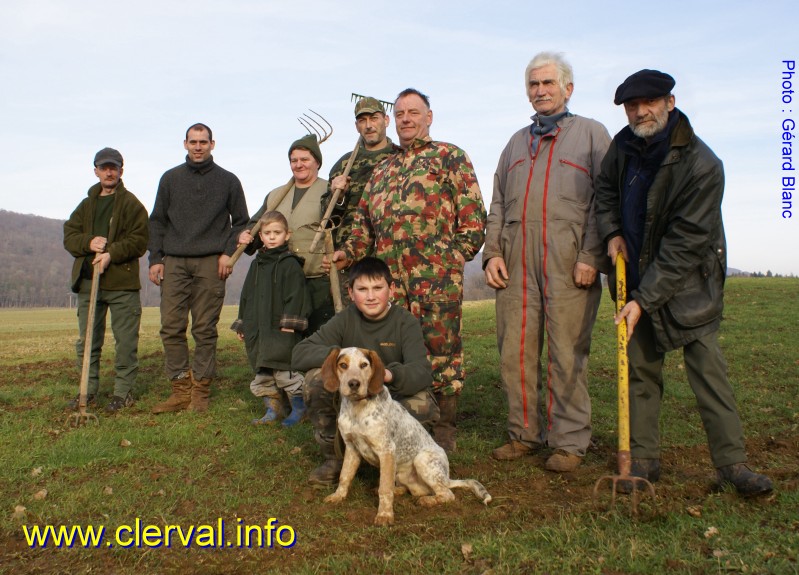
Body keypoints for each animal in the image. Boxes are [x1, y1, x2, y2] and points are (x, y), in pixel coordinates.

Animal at [322, 346, 490, 528]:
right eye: (343, 365)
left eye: (364, 365)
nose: (354, 384)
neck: (357, 409)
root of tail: (447, 478)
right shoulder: (351, 448)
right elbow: (344, 476)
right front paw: (338, 496)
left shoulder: (386, 450)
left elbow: (385, 488)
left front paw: (385, 515)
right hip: (399, 470)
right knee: (406, 488)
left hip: (422, 460)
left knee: (447, 494)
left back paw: (427, 500)